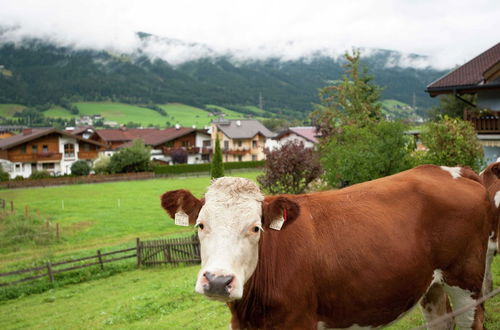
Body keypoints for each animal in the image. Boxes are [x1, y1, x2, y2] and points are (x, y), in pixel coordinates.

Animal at [161, 164, 492, 328]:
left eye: (255, 227)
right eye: (201, 225)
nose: (218, 281)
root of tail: (451, 170)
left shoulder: (298, 322)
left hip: (466, 280)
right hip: (430, 285)